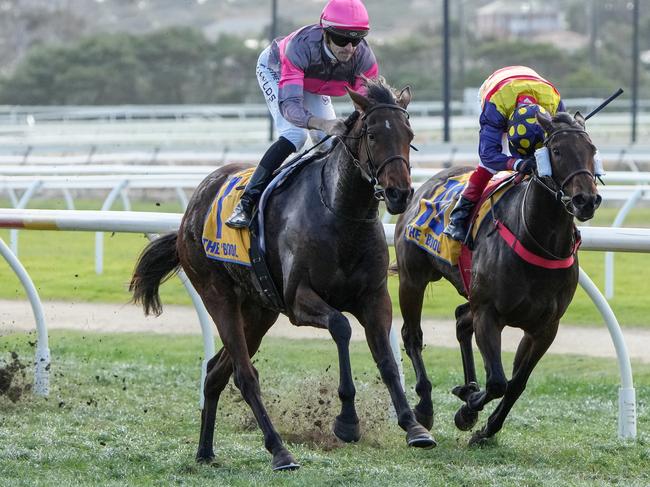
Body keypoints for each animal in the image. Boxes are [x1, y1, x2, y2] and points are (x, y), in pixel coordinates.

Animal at [129, 78, 432, 470]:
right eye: (373, 135)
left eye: (409, 134)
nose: (399, 193)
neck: (339, 213)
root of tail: (192, 209)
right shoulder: (299, 299)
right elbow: (341, 327)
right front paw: (347, 421)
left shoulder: (374, 297)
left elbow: (387, 360)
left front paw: (414, 426)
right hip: (217, 294)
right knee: (244, 375)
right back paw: (279, 450)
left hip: (259, 312)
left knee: (215, 372)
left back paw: (205, 451)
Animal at [392, 111, 600, 446]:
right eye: (556, 151)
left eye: (591, 150)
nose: (586, 200)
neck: (535, 238)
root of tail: (423, 187)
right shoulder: (489, 314)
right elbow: (498, 381)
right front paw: (466, 412)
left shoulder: (545, 328)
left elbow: (516, 384)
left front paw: (486, 428)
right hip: (413, 278)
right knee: (412, 335)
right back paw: (424, 407)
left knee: (461, 319)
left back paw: (467, 387)